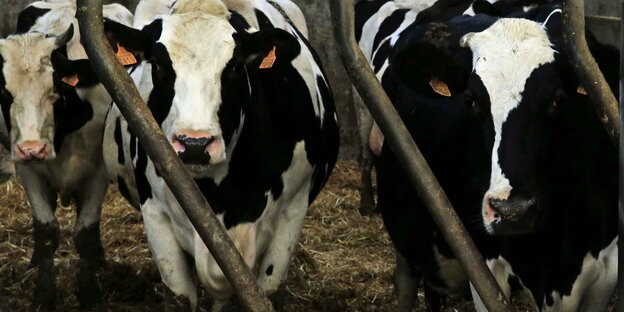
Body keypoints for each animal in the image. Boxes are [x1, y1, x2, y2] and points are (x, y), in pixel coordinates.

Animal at [0, 1, 134, 310]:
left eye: (55, 89)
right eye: (4, 91)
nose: (33, 148)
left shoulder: (97, 171)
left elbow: (85, 232)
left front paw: (90, 294)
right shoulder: (27, 168)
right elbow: (46, 230)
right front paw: (44, 295)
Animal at [101, 0, 342, 308]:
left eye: (236, 66)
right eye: (158, 64)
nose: (195, 144)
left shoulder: (293, 210)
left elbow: (266, 290)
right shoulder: (155, 213)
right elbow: (180, 296)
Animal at [358, 0, 616, 312]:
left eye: (557, 100)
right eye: (470, 101)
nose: (511, 211)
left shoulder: (605, 269)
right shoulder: (485, 264)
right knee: (406, 281)